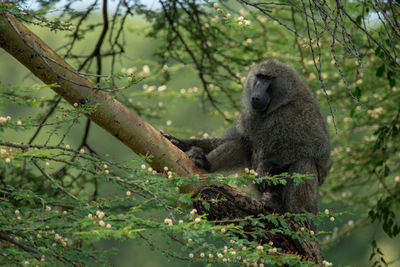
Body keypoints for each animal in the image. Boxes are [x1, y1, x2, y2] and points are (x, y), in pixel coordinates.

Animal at [162, 58, 332, 216]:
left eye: (268, 78)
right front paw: (181, 143)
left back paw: (286, 208)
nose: (256, 92)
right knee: (241, 144)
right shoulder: (249, 116)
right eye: (259, 76)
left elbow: (317, 147)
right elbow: (234, 140)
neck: (278, 105)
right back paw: (205, 163)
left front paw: (265, 165)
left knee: (304, 161)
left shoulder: (301, 112)